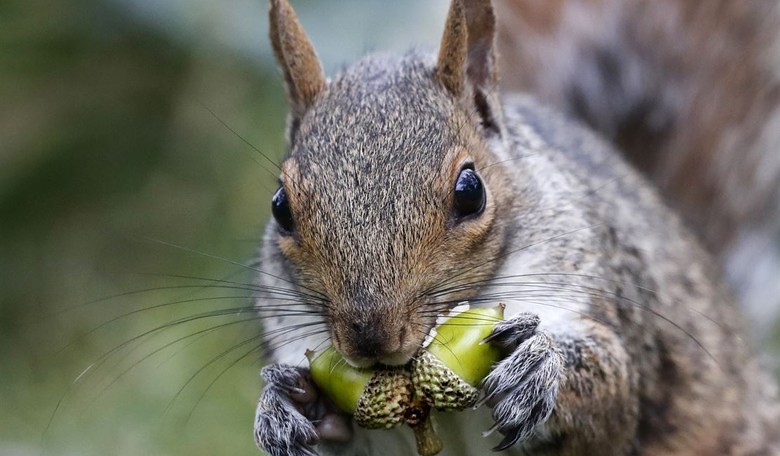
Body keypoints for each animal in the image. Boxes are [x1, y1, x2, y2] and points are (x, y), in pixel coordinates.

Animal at [253, 0, 780, 455]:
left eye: (471, 192)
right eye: (280, 207)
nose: (370, 339)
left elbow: (613, 397)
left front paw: (540, 365)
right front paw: (286, 407)